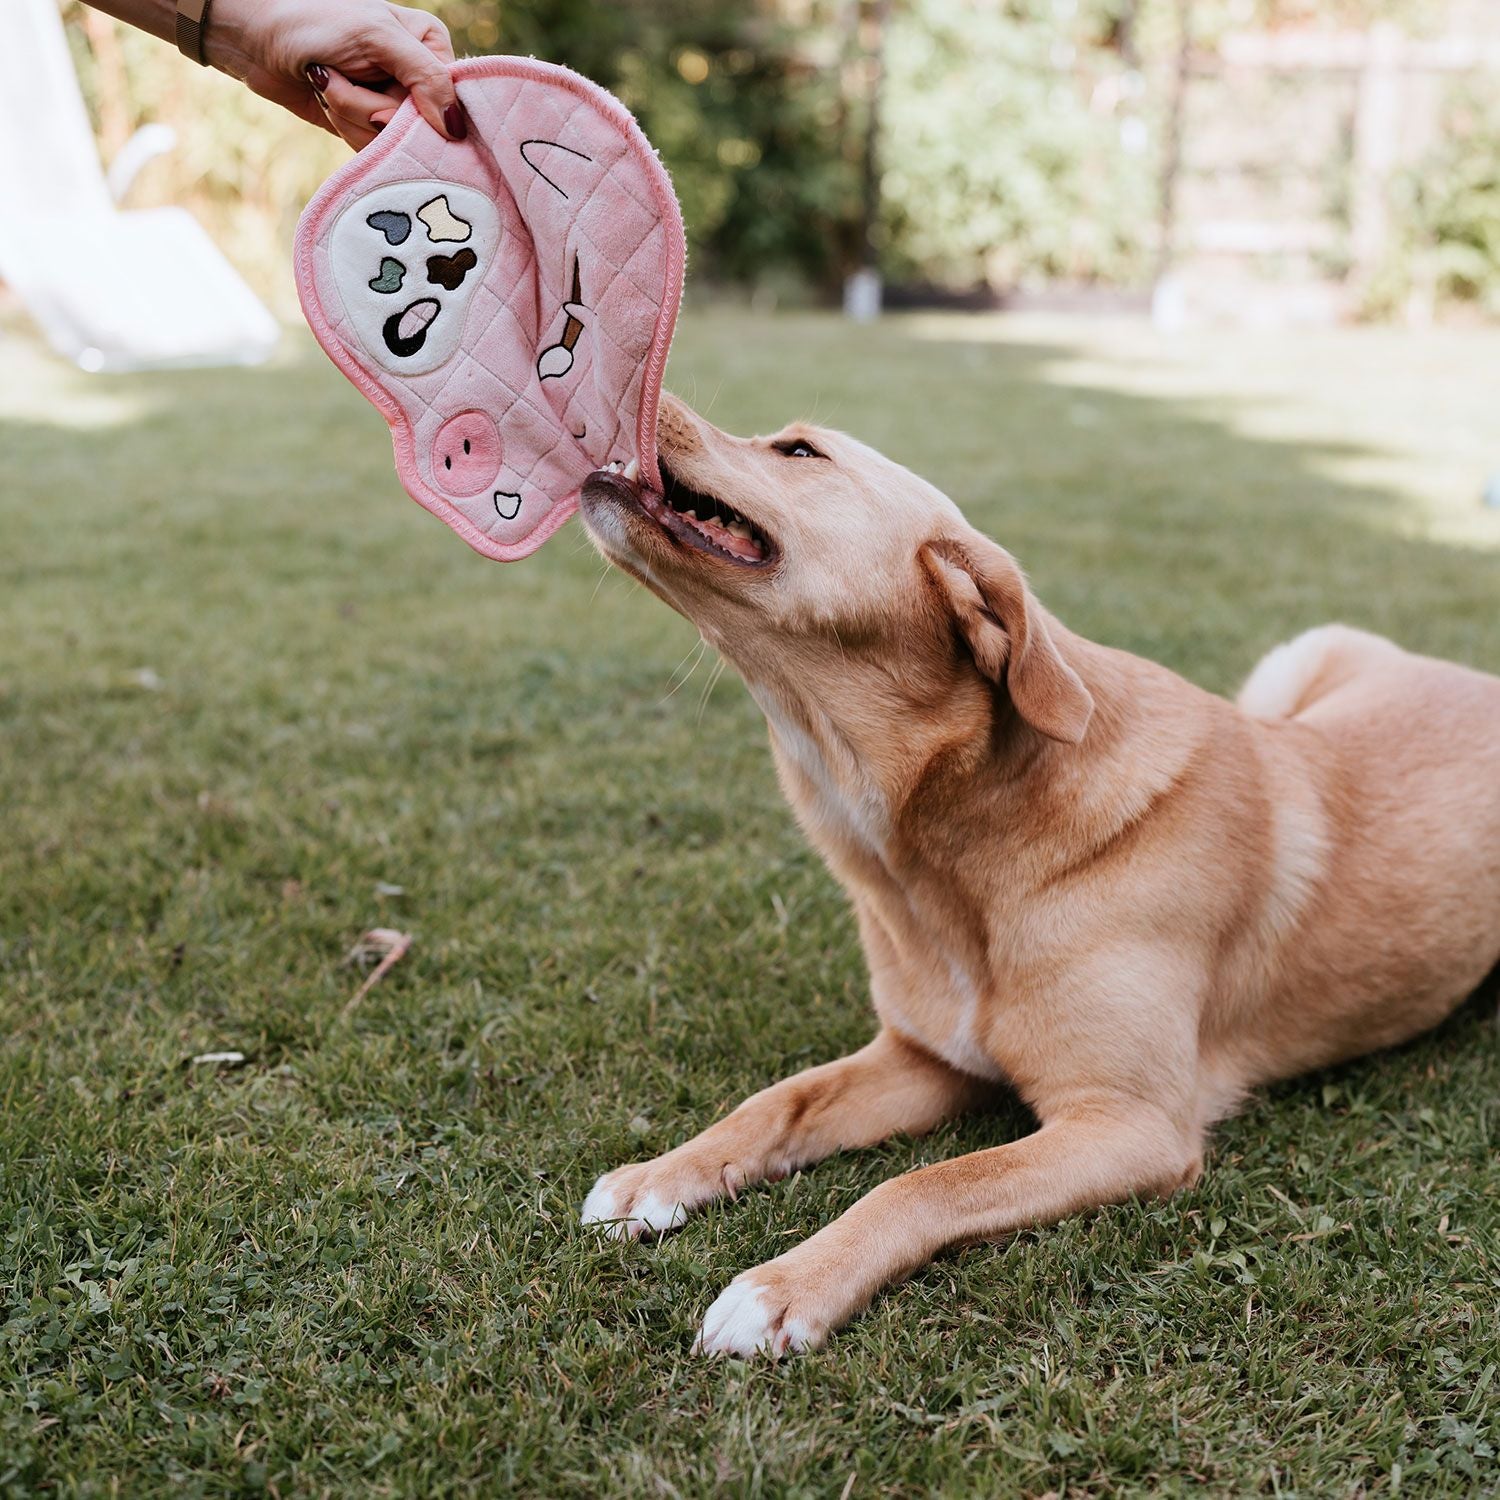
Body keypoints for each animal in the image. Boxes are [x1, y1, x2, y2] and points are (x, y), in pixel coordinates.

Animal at [573, 393, 1500, 1356]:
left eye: (798, 450)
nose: (640, 396)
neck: (950, 857)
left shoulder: (1131, 1126)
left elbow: (925, 1182)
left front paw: (786, 1284)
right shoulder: (925, 1058)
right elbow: (779, 1101)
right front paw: (656, 1177)